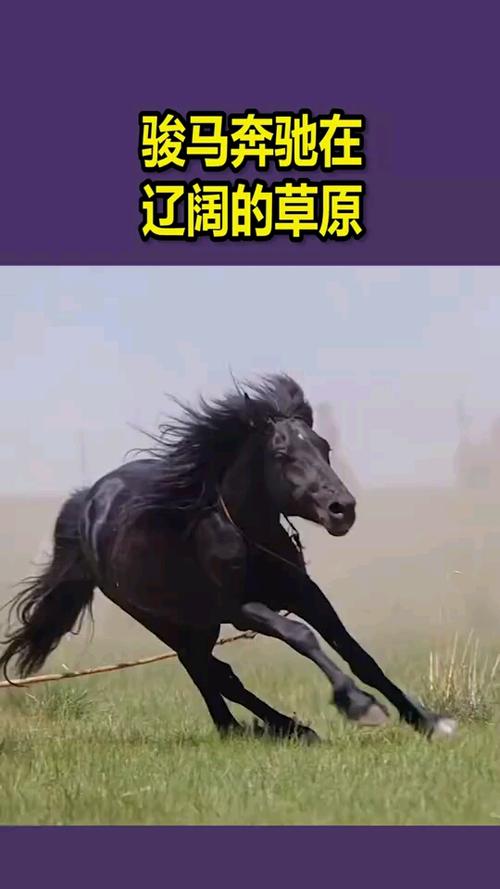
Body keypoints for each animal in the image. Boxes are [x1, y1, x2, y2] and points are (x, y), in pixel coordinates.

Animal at [0, 374, 456, 741]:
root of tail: (88, 505)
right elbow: (302, 636)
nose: (342, 509)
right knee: (207, 669)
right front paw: (359, 706)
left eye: (324, 447)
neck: (245, 536)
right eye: (282, 455)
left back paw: (272, 727)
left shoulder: (306, 594)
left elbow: (357, 652)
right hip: (166, 621)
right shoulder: (240, 609)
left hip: (196, 623)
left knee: (213, 670)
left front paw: (427, 721)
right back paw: (265, 728)